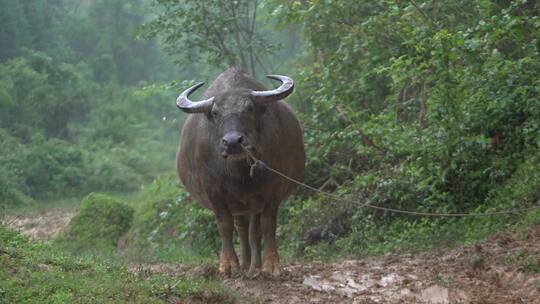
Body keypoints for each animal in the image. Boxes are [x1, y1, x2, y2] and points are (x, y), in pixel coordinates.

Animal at [176, 67, 304, 276]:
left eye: (249, 108)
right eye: (215, 112)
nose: (233, 142)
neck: (239, 174)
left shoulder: (272, 191)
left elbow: (268, 225)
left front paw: (271, 265)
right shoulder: (214, 193)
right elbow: (225, 226)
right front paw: (228, 265)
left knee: (253, 230)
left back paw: (254, 265)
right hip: (238, 206)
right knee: (242, 229)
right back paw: (244, 264)